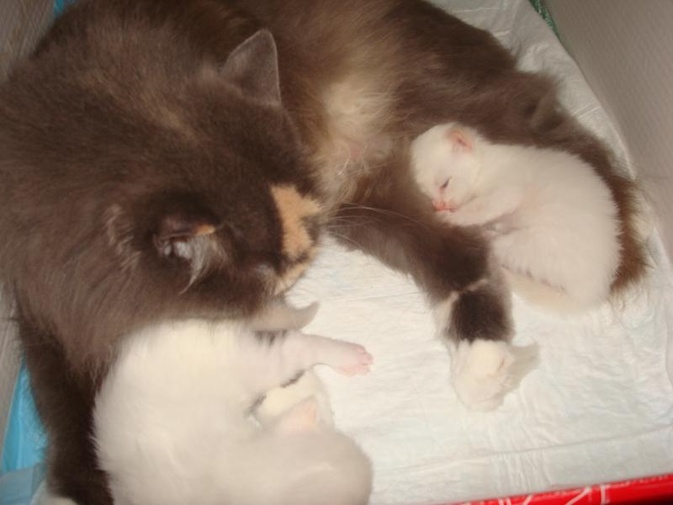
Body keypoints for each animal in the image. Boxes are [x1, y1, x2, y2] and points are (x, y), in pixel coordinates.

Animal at [410, 122, 622, 312]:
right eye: (429, 196)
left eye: (445, 183)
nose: (440, 205)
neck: (484, 168)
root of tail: (591, 292)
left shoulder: (507, 191)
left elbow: (480, 208)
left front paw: (450, 217)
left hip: (531, 244)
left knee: (498, 246)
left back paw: (485, 234)